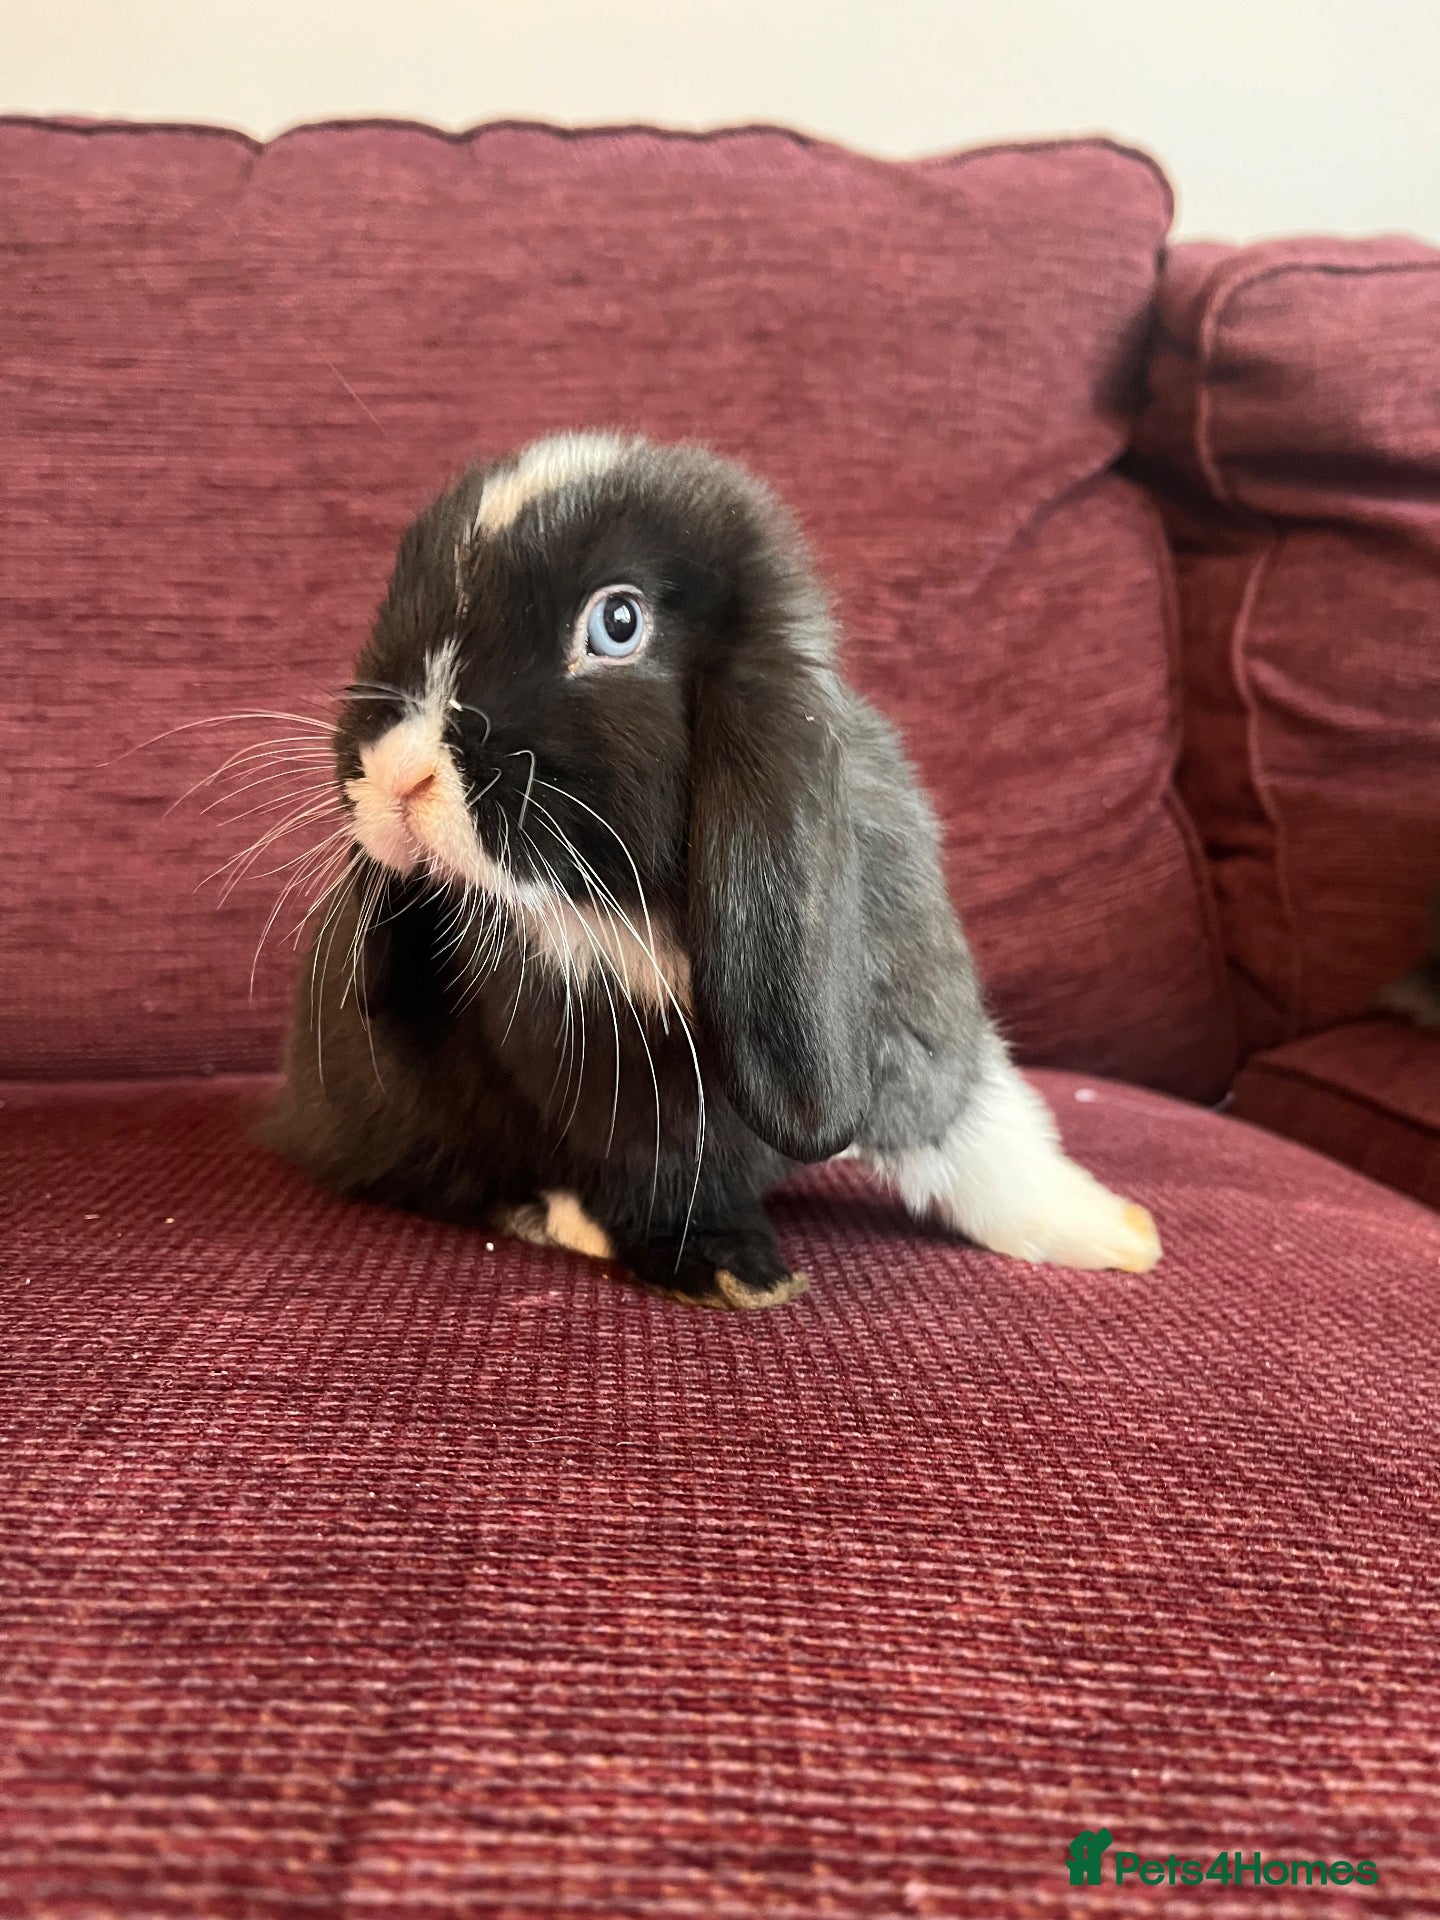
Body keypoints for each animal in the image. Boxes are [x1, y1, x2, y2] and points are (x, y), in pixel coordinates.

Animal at [264, 431, 1162, 1307]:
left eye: (618, 622)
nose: (397, 771)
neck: (630, 908)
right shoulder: (607, 1087)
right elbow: (657, 1177)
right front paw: (734, 1271)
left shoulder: (914, 1024)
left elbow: (973, 1132)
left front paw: (1115, 1234)